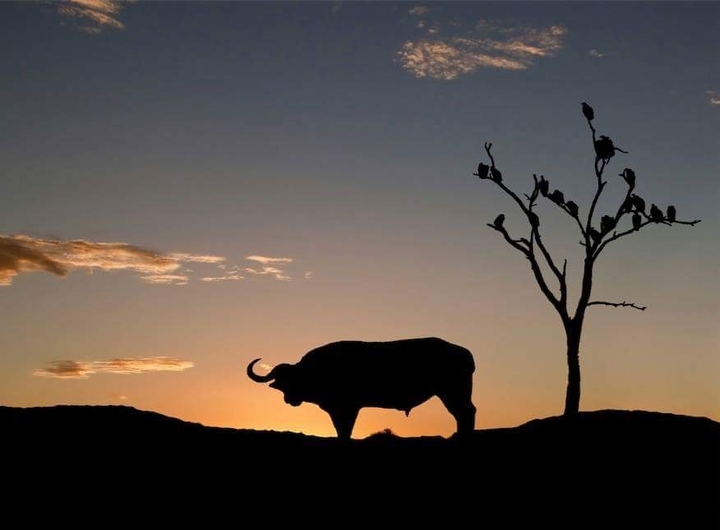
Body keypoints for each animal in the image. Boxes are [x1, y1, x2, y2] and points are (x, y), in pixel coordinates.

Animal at [246, 337, 476, 439]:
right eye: (283, 381)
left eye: (295, 380)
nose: (290, 400)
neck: (317, 370)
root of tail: (465, 353)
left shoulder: (348, 407)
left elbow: (345, 428)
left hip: (452, 392)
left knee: (465, 412)